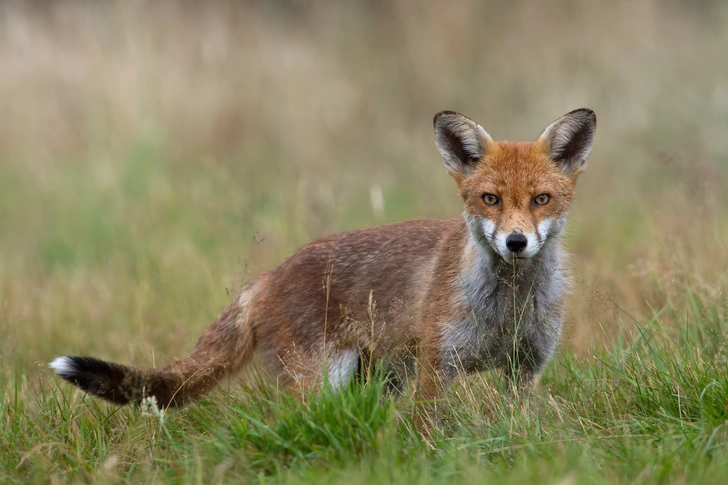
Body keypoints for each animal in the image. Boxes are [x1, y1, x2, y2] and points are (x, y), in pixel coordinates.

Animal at [49, 108, 596, 414]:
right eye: (490, 199)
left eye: (541, 199)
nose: (516, 243)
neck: (506, 307)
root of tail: (267, 276)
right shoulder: (437, 369)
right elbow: (432, 433)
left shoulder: (524, 370)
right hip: (321, 383)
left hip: (375, 380)